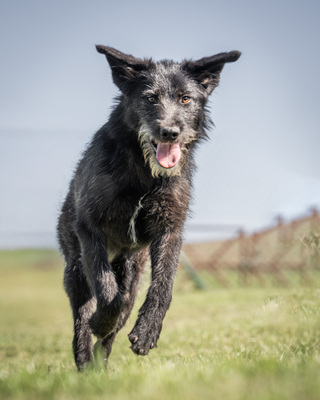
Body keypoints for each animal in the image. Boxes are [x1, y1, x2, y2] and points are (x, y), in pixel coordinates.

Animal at [57, 45, 240, 370]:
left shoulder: (170, 230)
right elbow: (106, 288)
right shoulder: (90, 229)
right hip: (76, 269)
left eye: (185, 98)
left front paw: (147, 331)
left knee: (115, 324)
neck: (144, 173)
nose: (169, 132)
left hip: (132, 273)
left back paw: (99, 366)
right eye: (150, 98)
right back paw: (85, 361)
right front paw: (101, 321)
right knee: (83, 319)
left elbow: (163, 286)